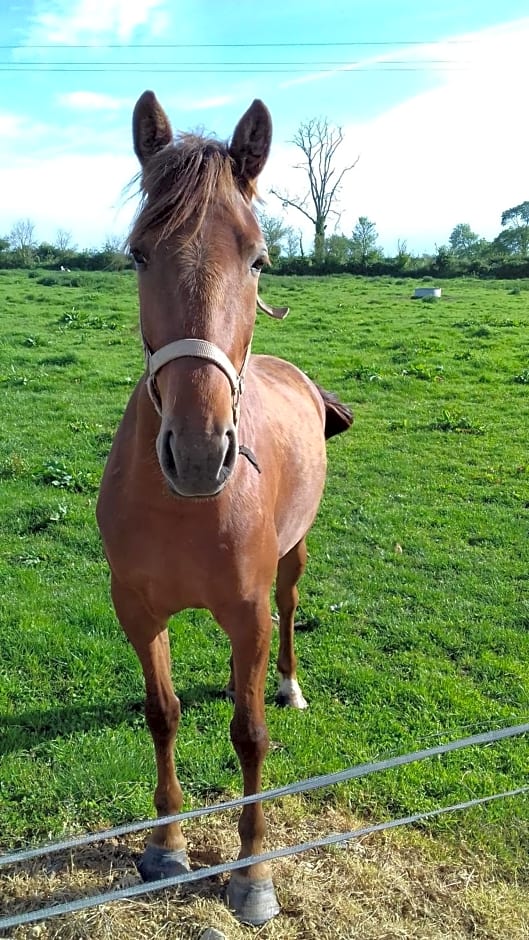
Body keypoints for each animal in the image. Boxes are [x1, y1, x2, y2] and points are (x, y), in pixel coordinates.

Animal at [97, 90, 352, 924]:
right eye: (137, 253)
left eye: (258, 257)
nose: (200, 450)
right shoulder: (136, 608)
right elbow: (163, 713)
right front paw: (166, 847)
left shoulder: (247, 612)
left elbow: (250, 736)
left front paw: (252, 875)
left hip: (292, 560)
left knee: (292, 608)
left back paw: (290, 682)